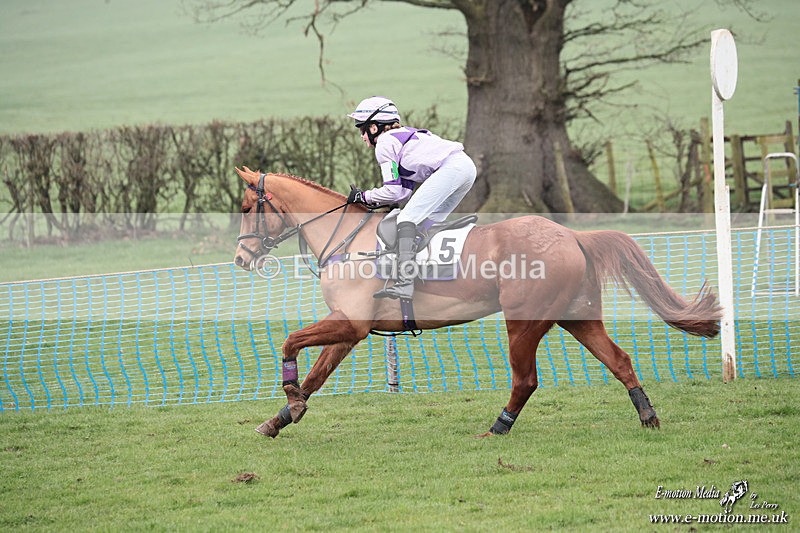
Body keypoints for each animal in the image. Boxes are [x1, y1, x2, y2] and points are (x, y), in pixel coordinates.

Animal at [233, 167, 722, 438]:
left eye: (246, 206)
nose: (240, 258)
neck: (347, 240)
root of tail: (572, 236)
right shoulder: (351, 329)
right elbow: (316, 375)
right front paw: (282, 417)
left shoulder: (349, 323)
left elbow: (291, 343)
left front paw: (290, 399)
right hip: (576, 317)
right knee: (619, 360)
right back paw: (648, 417)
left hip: (523, 322)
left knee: (526, 380)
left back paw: (498, 427)